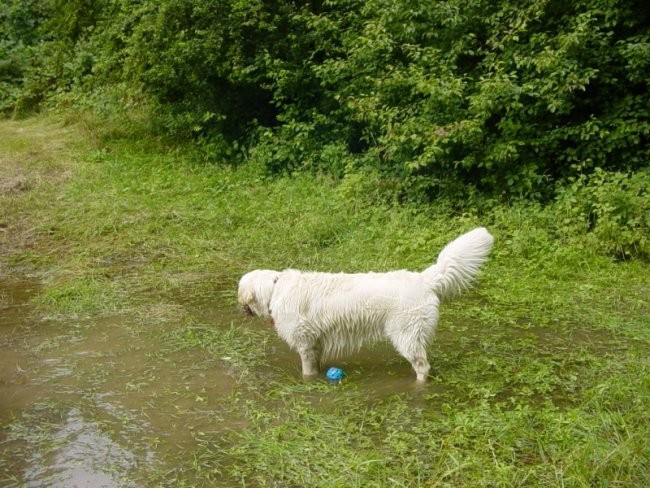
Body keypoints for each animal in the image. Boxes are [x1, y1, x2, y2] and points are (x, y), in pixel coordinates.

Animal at [238, 227, 492, 380]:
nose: (238, 304)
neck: (275, 288)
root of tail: (423, 278)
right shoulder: (316, 343)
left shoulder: (305, 343)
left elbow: (307, 370)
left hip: (406, 336)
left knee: (422, 366)